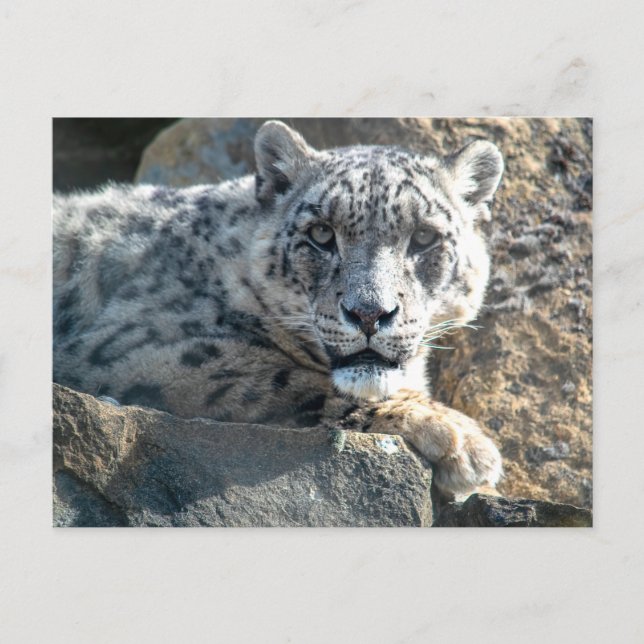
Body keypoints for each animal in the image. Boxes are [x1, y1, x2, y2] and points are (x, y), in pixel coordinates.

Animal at [53, 120, 504, 498]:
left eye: (425, 237)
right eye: (321, 233)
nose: (369, 313)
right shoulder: (139, 350)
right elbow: (284, 376)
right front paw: (460, 438)